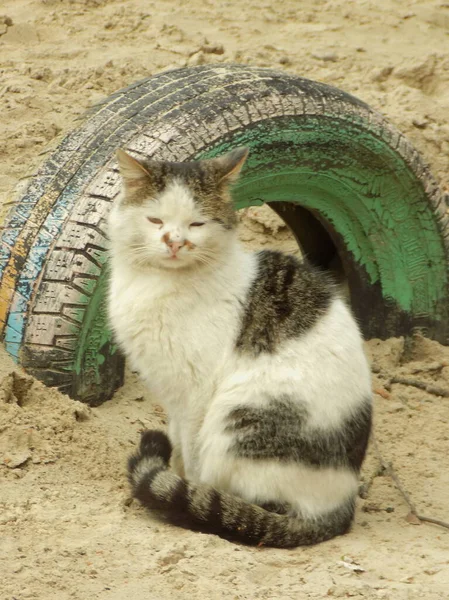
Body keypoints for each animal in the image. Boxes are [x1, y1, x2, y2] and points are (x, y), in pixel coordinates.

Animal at [108, 145, 372, 548]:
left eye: (197, 224)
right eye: (155, 220)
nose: (174, 241)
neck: (155, 283)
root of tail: (339, 510)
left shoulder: (196, 393)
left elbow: (192, 457)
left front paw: (185, 489)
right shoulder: (173, 394)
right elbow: (178, 444)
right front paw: (172, 473)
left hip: (241, 416)